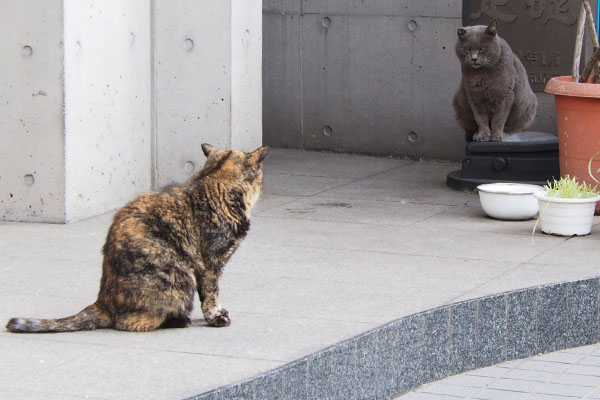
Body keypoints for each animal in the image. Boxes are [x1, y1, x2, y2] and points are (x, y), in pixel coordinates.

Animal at [6, 143, 268, 332]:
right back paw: (178, 320)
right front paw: (216, 317)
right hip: (180, 279)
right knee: (131, 323)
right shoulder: (211, 263)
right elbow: (211, 294)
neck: (212, 179)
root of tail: (102, 302)